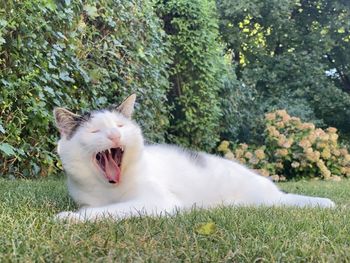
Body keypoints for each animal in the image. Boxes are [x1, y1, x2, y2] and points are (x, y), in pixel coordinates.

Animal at [53, 95, 334, 223]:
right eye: (95, 131)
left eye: (120, 126)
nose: (113, 135)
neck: (110, 189)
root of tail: (272, 191)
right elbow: (97, 208)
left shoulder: (156, 201)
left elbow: (112, 211)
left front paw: (70, 217)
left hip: (261, 199)